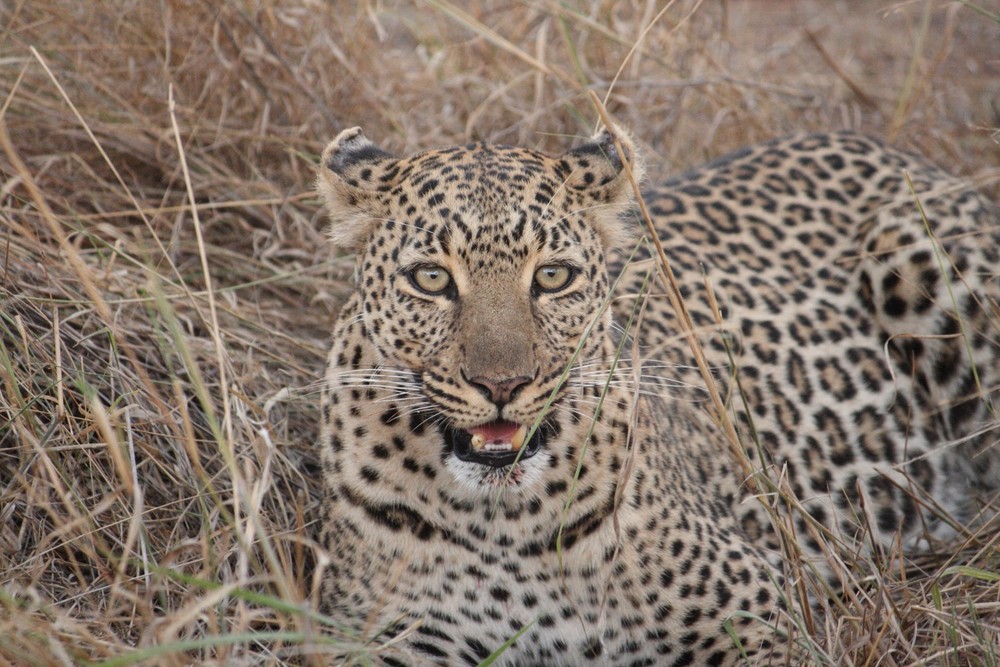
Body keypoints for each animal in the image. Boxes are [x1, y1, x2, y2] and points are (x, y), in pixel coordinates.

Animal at [314, 126, 1000, 667]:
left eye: (552, 276)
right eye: (431, 278)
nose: (503, 385)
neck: (500, 524)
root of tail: (883, 145)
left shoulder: (754, 608)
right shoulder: (386, 639)